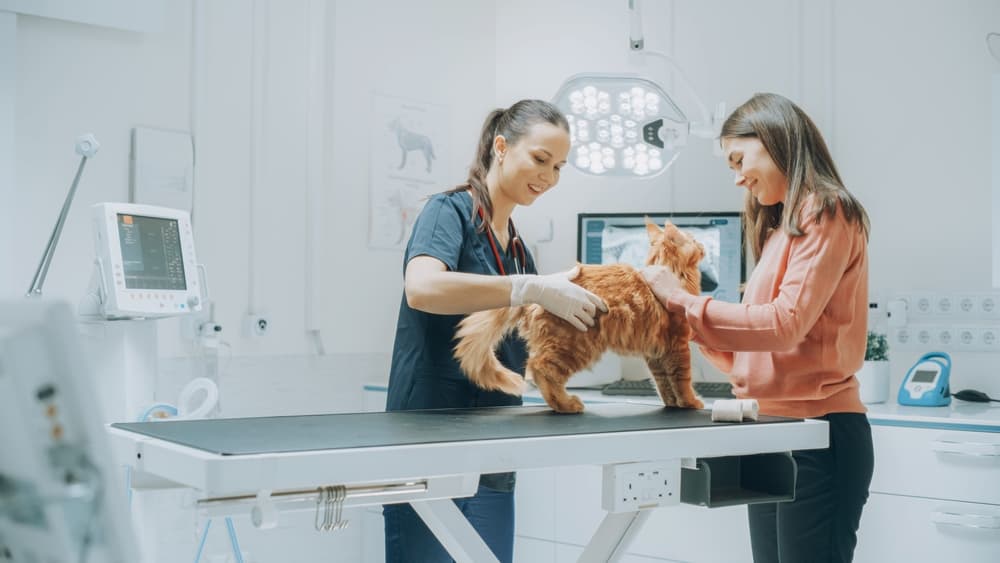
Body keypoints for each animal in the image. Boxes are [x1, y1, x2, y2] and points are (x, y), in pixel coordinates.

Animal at [454, 220, 704, 414]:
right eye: (693, 238)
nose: (702, 244)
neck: (671, 272)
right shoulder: (677, 346)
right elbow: (682, 379)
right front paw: (691, 402)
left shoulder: (657, 353)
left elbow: (663, 383)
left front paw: (672, 403)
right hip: (575, 346)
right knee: (540, 369)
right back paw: (566, 404)